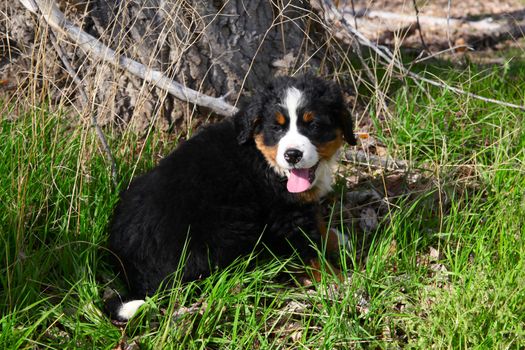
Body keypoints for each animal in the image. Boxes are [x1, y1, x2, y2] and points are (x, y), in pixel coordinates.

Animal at [109, 75, 358, 322]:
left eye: (313, 125)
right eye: (276, 128)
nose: (293, 155)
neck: (265, 161)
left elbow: (316, 222)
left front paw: (335, 238)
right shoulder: (285, 215)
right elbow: (310, 250)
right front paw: (339, 282)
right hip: (230, 226)